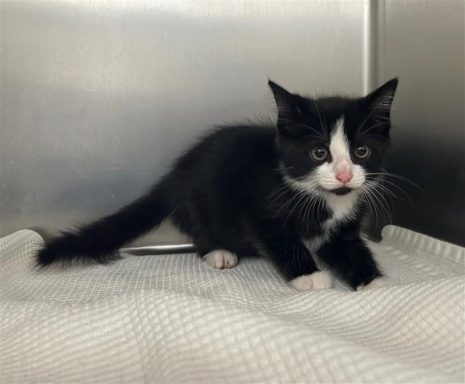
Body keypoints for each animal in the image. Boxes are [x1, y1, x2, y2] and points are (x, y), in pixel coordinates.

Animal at [38, 79, 396, 292]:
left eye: (361, 151)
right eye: (319, 152)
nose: (345, 175)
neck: (329, 198)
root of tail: (174, 176)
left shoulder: (345, 228)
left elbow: (351, 248)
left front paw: (373, 282)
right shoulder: (259, 206)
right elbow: (282, 240)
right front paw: (308, 275)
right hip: (200, 201)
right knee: (200, 229)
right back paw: (218, 252)